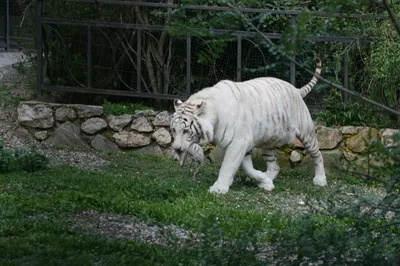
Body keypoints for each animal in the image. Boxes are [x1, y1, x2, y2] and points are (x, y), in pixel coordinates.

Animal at [170, 57, 326, 193]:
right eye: (173, 130)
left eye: (186, 131)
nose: (176, 149)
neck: (215, 115)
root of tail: (296, 89)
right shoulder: (242, 145)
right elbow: (247, 168)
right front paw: (264, 181)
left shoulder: (238, 142)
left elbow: (228, 166)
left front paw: (219, 188)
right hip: (268, 141)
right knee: (274, 166)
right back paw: (268, 180)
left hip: (306, 132)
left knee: (317, 154)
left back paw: (320, 179)